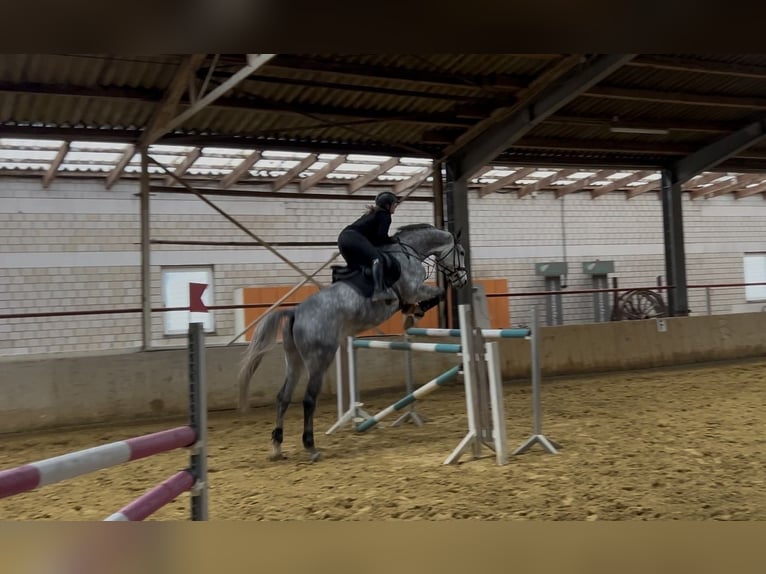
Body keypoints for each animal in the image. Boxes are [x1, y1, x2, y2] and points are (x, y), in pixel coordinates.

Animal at [238, 223, 468, 462]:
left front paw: (412, 313)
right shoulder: (414, 289)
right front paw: (415, 313)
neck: (409, 252)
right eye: (461, 252)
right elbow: (438, 293)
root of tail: (295, 313)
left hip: (294, 361)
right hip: (320, 359)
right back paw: (311, 447)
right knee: (309, 399)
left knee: (283, 397)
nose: (463, 280)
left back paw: (277, 447)